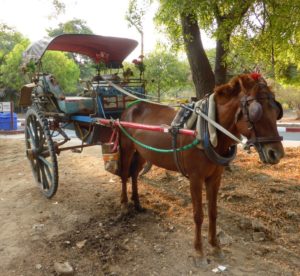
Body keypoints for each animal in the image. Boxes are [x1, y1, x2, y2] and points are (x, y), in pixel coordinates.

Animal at [116, 74, 284, 260]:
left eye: (277, 111)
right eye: (256, 112)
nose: (276, 154)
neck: (206, 130)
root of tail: (130, 107)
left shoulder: (215, 177)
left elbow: (213, 212)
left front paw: (215, 245)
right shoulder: (195, 178)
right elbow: (198, 215)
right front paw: (198, 249)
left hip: (141, 153)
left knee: (134, 174)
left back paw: (137, 203)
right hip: (127, 148)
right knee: (124, 174)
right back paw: (124, 205)